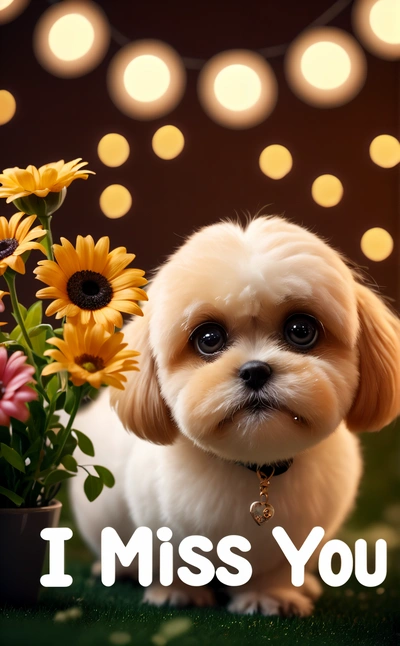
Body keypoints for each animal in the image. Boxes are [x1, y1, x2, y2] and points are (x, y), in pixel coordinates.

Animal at [69, 216, 400, 616]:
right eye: (209, 338)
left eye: (301, 330)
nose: (255, 371)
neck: (255, 470)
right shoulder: (156, 520)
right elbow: (170, 558)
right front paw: (177, 592)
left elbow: (276, 567)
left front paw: (270, 596)